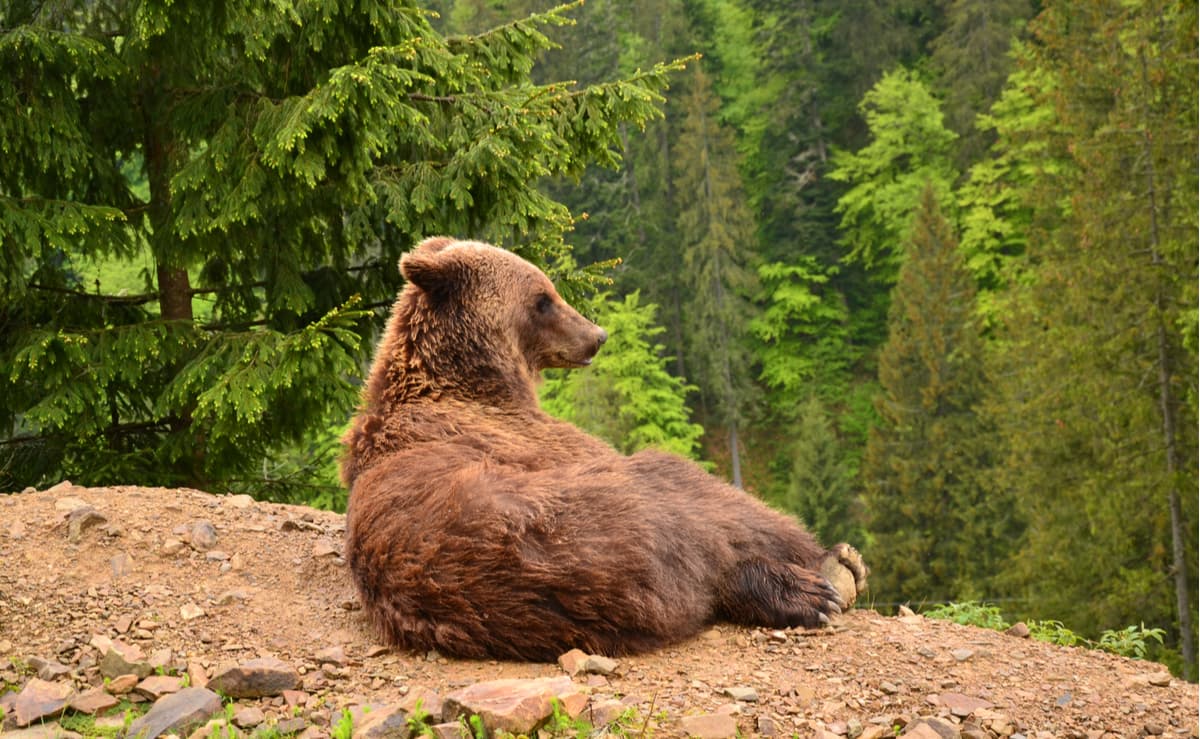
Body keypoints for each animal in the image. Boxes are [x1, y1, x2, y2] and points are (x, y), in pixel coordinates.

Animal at [342, 236, 867, 661]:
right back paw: (824, 579)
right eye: (542, 299)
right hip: (611, 515)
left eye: (550, 288)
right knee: (705, 507)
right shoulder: (537, 437)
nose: (597, 335)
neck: (468, 380)